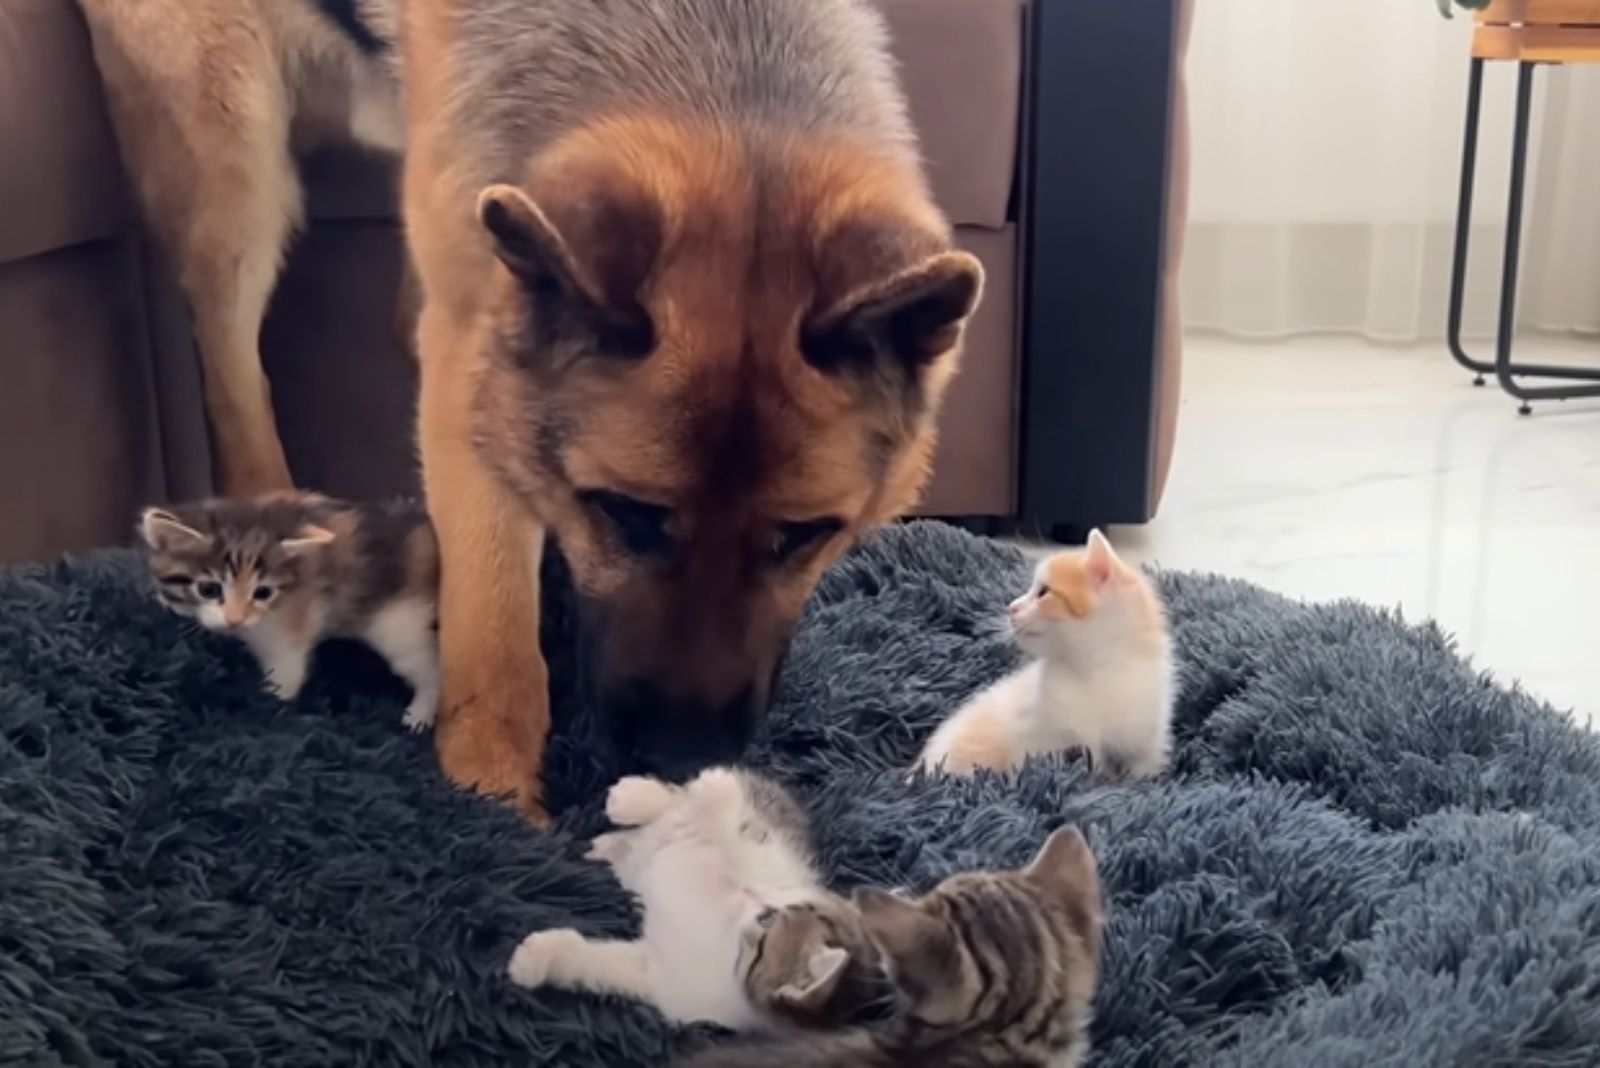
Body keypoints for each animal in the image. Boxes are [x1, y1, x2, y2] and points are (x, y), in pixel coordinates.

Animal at [136, 495, 438, 729]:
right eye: (208, 589)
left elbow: (286, 674)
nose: (235, 620)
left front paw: (267, 705)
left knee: (430, 669)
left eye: (262, 593)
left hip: (399, 623)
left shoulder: (290, 624)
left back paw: (419, 715)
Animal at [915, 530, 1177, 780]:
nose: (1011, 607)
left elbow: (1139, 772)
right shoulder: (1039, 739)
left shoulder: (1147, 743)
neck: (1092, 671)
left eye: (1043, 592)